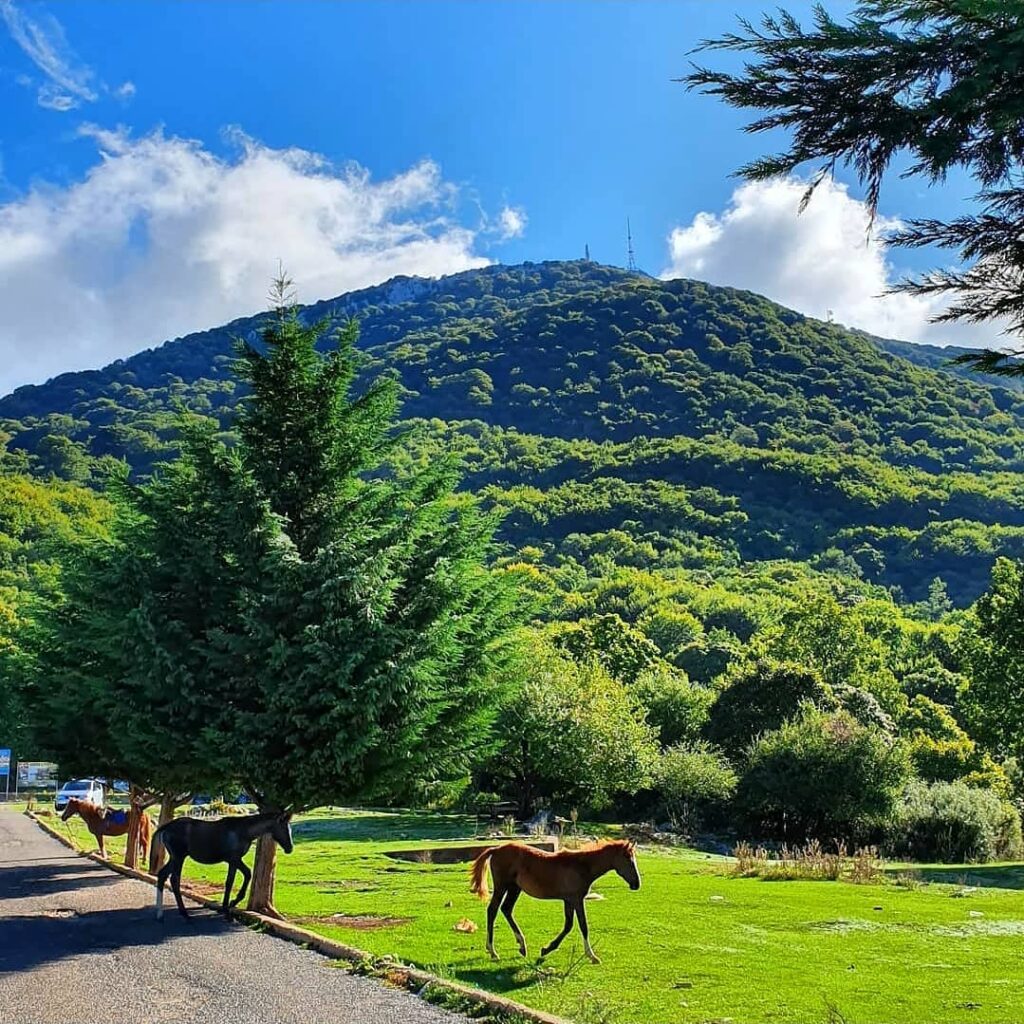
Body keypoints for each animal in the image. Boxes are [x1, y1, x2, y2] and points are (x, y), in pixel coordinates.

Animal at [153, 806, 294, 921]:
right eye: (285, 828)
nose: (290, 848)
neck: (243, 831)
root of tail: (167, 827)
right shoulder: (234, 859)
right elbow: (236, 879)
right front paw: (229, 907)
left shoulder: (235, 861)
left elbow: (240, 877)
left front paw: (230, 905)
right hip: (178, 857)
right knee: (174, 880)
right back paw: (184, 913)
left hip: (174, 858)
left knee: (162, 875)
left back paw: (160, 915)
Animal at [471, 835, 638, 962]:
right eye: (629, 860)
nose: (637, 884)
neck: (582, 866)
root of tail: (496, 849)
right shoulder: (577, 900)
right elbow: (583, 926)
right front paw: (592, 956)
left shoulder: (568, 901)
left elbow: (568, 925)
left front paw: (546, 949)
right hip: (502, 887)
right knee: (492, 910)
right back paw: (493, 951)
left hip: (514, 888)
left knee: (506, 909)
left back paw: (522, 946)